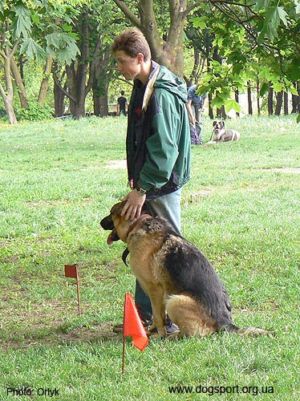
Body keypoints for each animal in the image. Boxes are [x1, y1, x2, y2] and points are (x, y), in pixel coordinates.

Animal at [100, 202, 270, 336]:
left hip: (175, 300)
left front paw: (159, 335)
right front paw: (152, 330)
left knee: (198, 334)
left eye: (111, 213)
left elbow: (157, 316)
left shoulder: (155, 290)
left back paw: (175, 336)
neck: (137, 224)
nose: (100, 222)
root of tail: (225, 323)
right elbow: (158, 315)